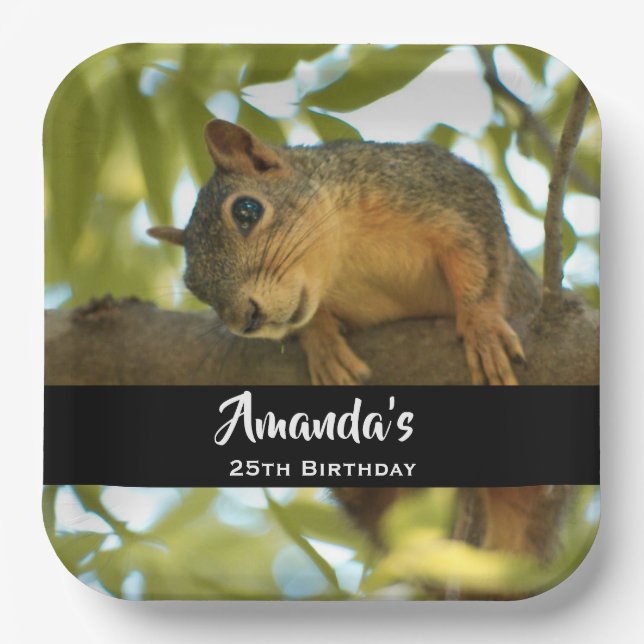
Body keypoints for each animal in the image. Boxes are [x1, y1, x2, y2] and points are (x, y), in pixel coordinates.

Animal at [148, 119, 570, 571]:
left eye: (247, 211)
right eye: (194, 285)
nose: (246, 320)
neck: (342, 258)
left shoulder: (443, 188)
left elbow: (480, 256)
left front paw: (482, 325)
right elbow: (309, 322)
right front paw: (322, 343)